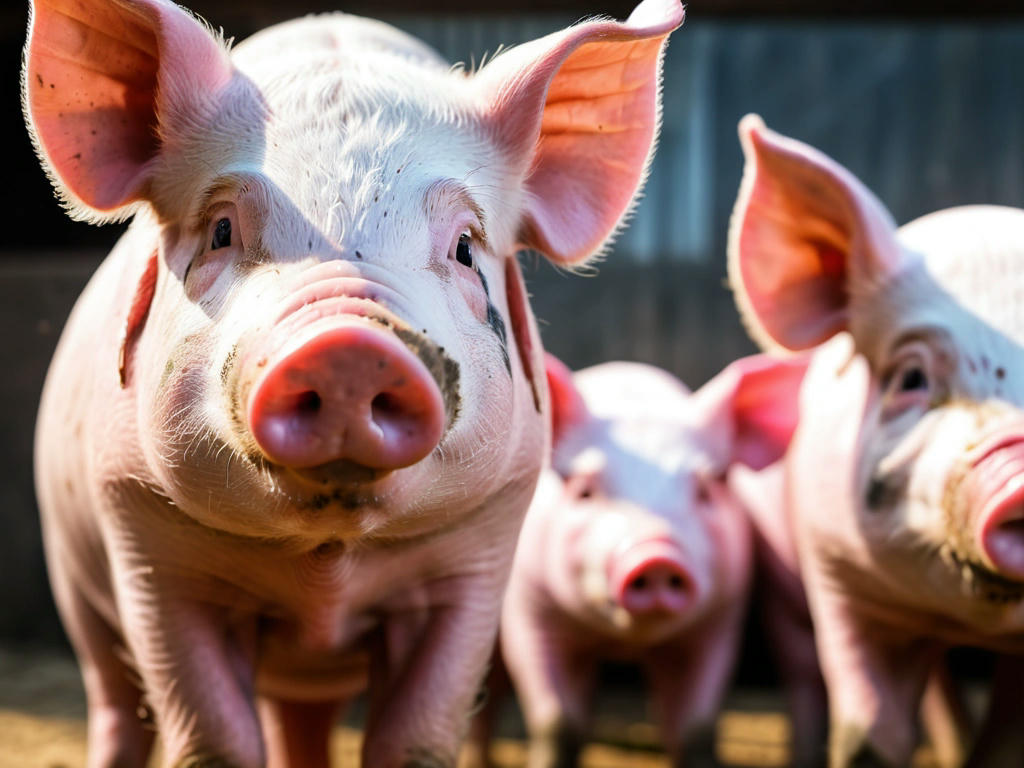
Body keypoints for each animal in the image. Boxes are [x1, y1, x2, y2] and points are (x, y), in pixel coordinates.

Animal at [24, 1, 684, 768]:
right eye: (220, 230)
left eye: (465, 247)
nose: (349, 346)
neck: (328, 563)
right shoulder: (144, 534)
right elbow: (214, 737)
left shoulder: (480, 547)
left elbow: (415, 735)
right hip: (71, 577)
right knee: (115, 707)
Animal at [466, 354, 806, 768]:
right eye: (584, 491)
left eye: (704, 491)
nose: (656, 555)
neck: (625, 639)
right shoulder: (530, 607)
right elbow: (558, 721)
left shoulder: (720, 618)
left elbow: (695, 726)